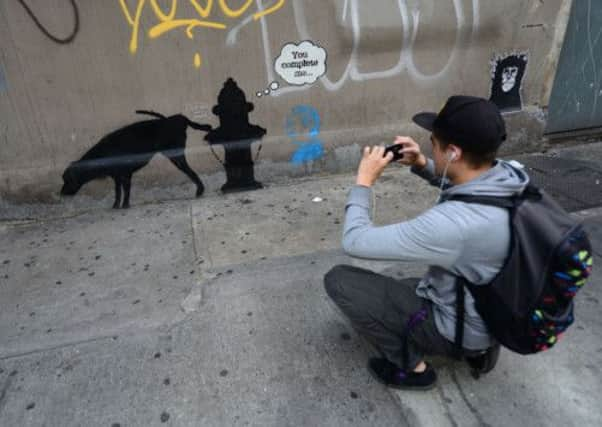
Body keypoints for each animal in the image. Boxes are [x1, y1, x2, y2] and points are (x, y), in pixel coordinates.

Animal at [61, 111, 211, 210]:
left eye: (67, 180)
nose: (61, 193)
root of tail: (180, 118)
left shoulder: (126, 174)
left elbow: (126, 190)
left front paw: (125, 205)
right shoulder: (117, 176)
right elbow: (118, 191)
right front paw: (116, 205)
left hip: (176, 156)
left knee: (190, 172)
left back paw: (200, 190)